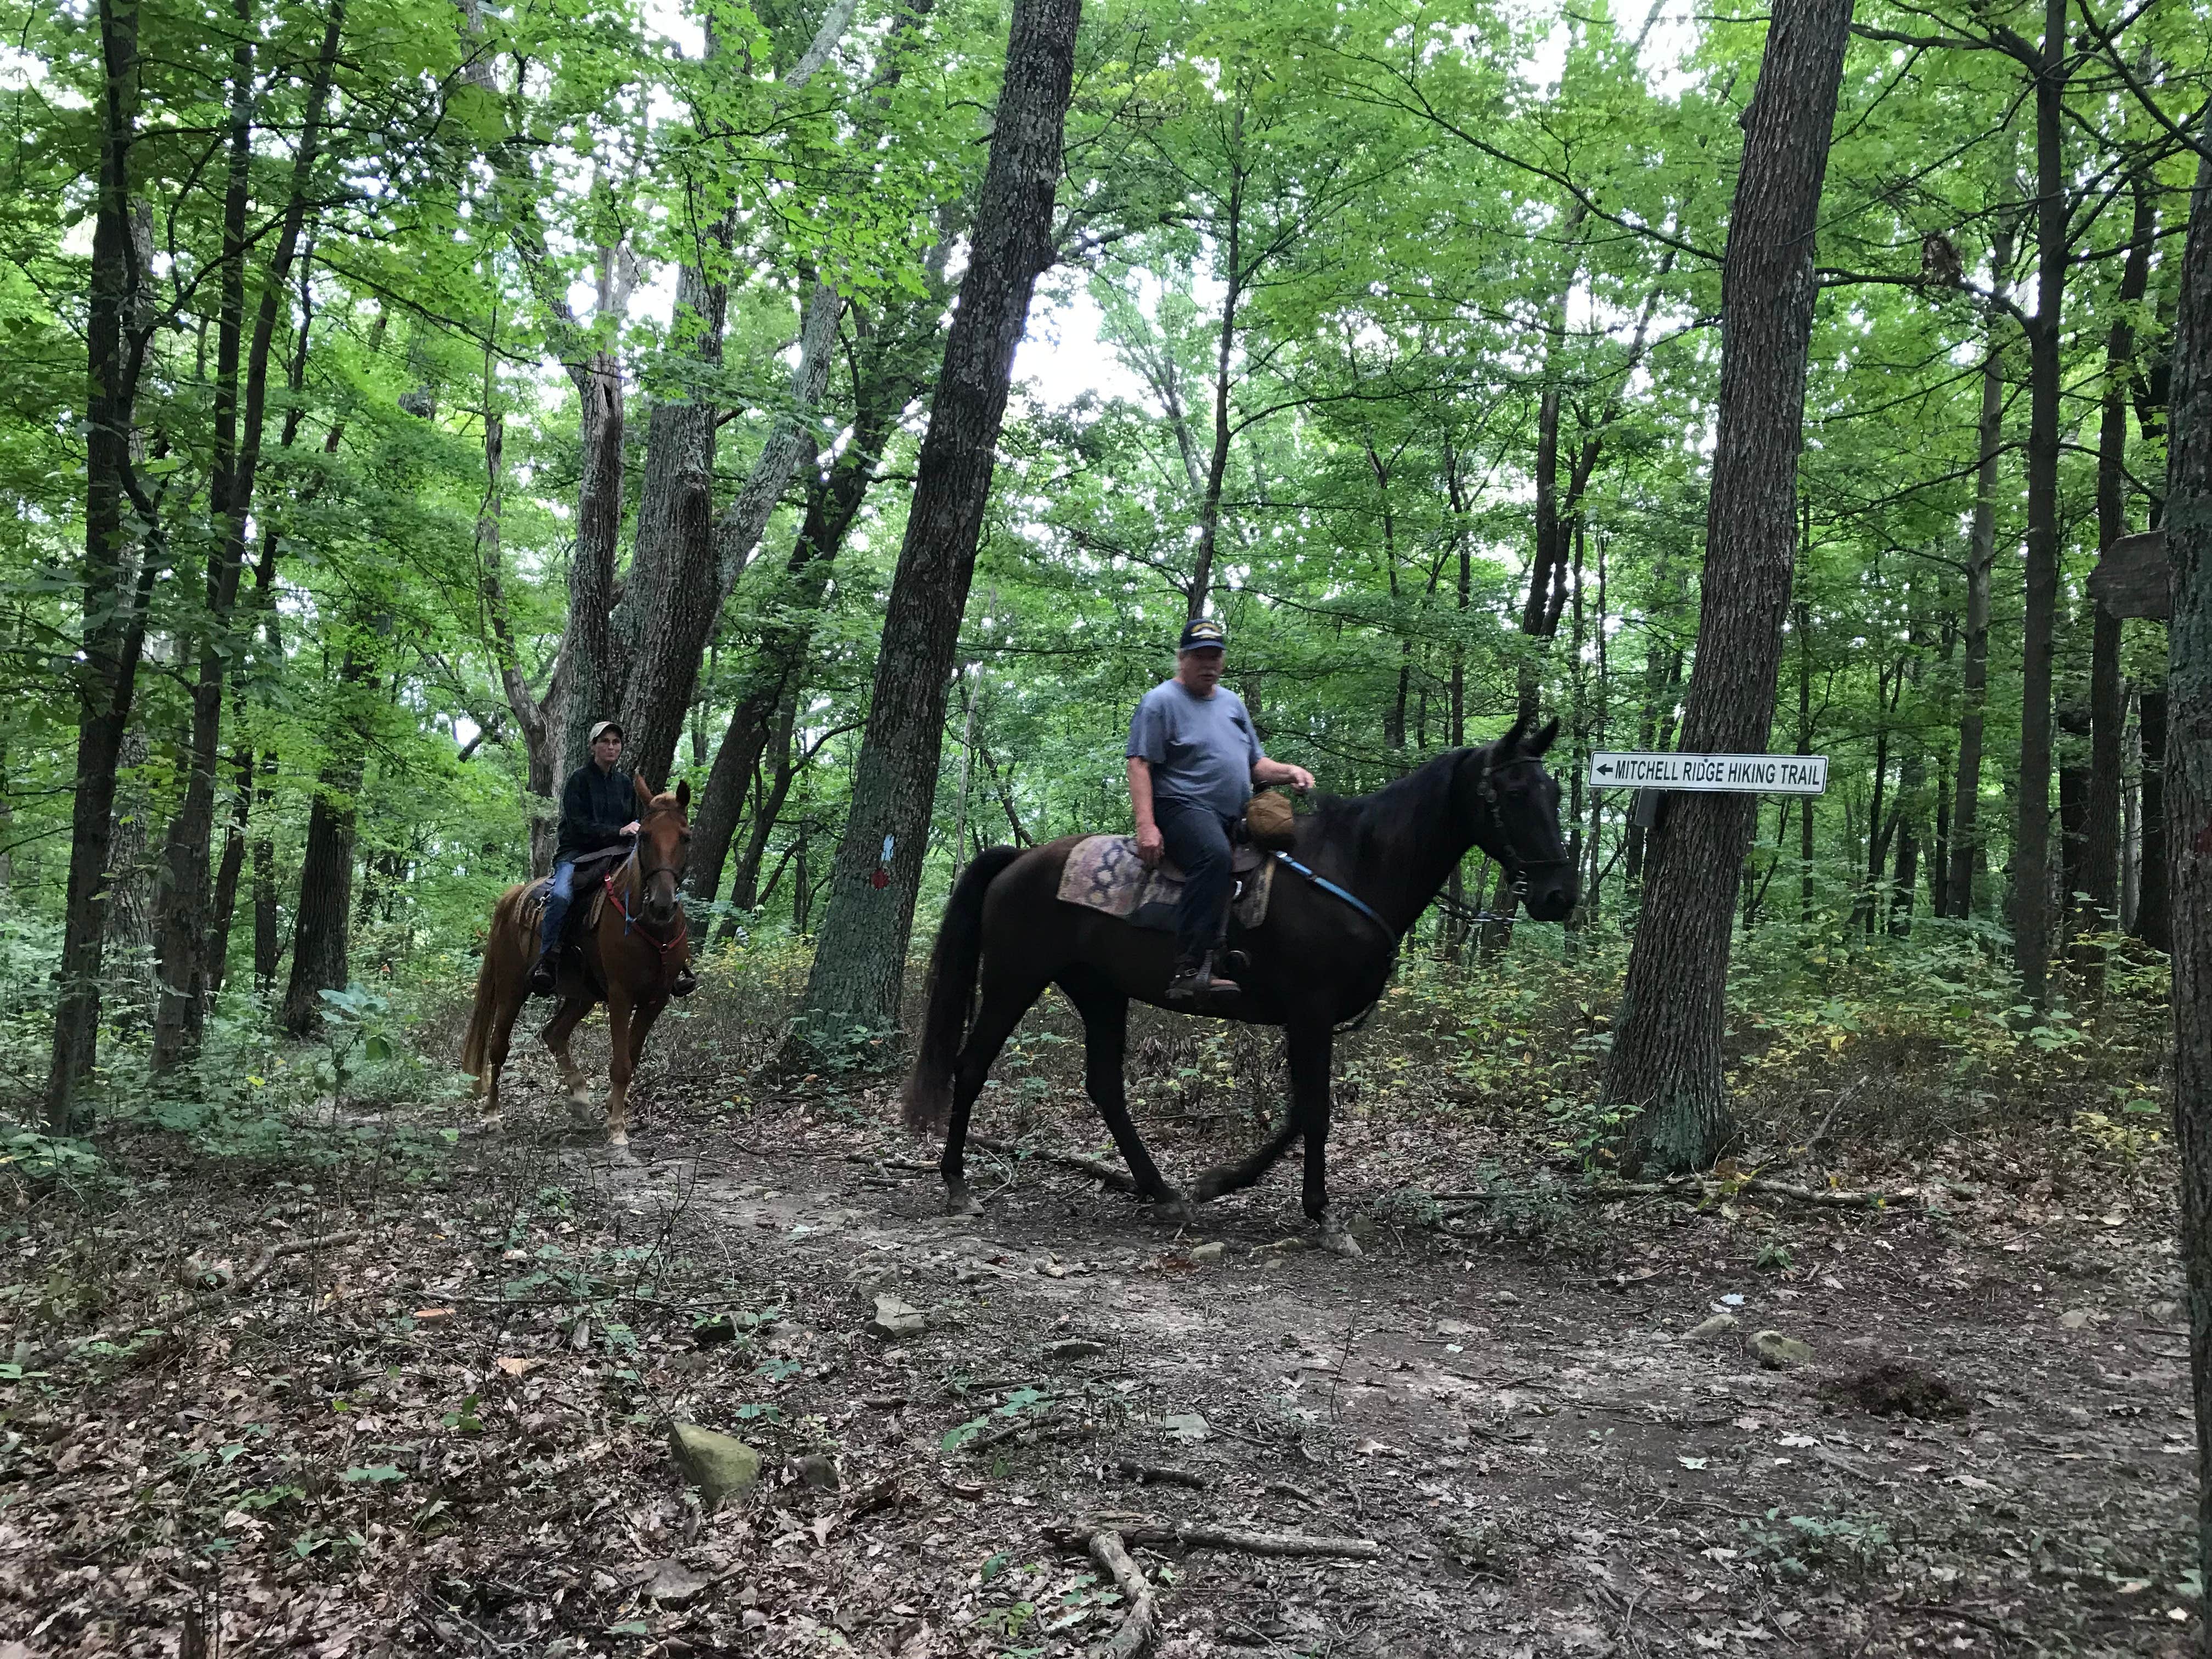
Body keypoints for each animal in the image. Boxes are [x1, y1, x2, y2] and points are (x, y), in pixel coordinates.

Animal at [461, 776, 693, 1149]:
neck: (649, 924)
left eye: (686, 837)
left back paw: (580, 1098)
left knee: (554, 1033)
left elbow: (633, 1056)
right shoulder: (621, 996)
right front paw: (617, 1129)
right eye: (643, 837)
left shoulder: (655, 999)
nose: (662, 904)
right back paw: (494, 1116)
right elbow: (621, 1062)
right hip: (513, 988)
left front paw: (611, 1107)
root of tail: (514, 896)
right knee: (499, 1046)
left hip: (582, 995)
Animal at [900, 715, 1576, 1246]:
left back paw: (1161, 1191)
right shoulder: (1310, 1010)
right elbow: (1314, 1111)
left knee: (1106, 1088)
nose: (1559, 896)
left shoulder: (1309, 1017)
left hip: (1099, 992)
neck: (1352, 868)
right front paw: (1314, 1212)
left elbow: (1299, 1112)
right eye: (1514, 791)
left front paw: (1219, 1183)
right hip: (1013, 980)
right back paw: (958, 1184)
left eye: (1553, 788)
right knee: (971, 1067)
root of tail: (1018, 860)